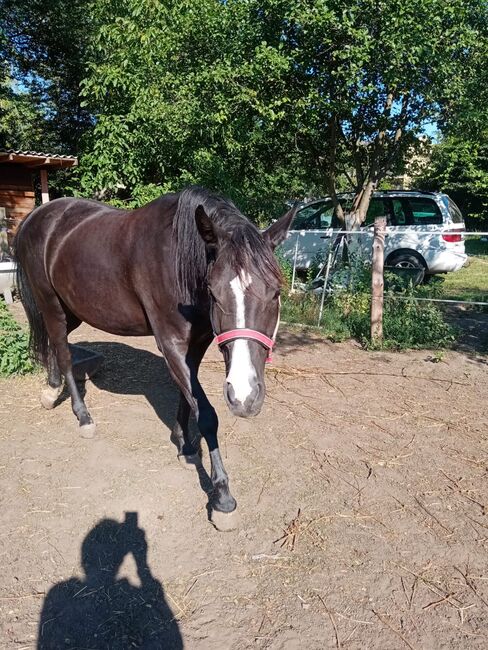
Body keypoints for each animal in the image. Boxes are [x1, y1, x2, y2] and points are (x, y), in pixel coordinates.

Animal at [15, 185, 296, 528]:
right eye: (214, 292)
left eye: (275, 292)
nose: (245, 397)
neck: (178, 258)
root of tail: (39, 215)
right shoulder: (169, 342)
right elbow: (206, 413)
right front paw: (222, 497)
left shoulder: (197, 342)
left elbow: (187, 396)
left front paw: (184, 444)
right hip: (50, 304)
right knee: (63, 351)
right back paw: (83, 417)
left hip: (73, 311)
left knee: (56, 345)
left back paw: (52, 389)